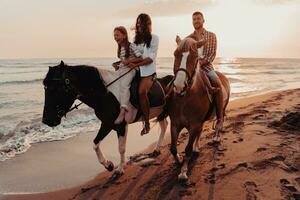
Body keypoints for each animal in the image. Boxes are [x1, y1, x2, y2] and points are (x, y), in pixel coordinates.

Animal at [42, 61, 173, 175]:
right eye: (45, 88)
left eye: (55, 88)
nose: (46, 120)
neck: (105, 94)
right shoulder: (107, 124)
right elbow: (95, 144)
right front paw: (108, 164)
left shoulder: (121, 126)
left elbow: (121, 148)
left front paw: (120, 169)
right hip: (161, 113)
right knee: (164, 125)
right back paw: (157, 150)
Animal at [168, 36, 231, 180]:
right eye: (175, 54)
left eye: (194, 56)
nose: (179, 86)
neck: (185, 99)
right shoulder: (175, 124)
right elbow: (173, 148)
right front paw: (179, 160)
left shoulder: (194, 125)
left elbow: (187, 149)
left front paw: (183, 171)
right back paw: (197, 148)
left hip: (222, 108)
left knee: (220, 121)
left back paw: (216, 138)